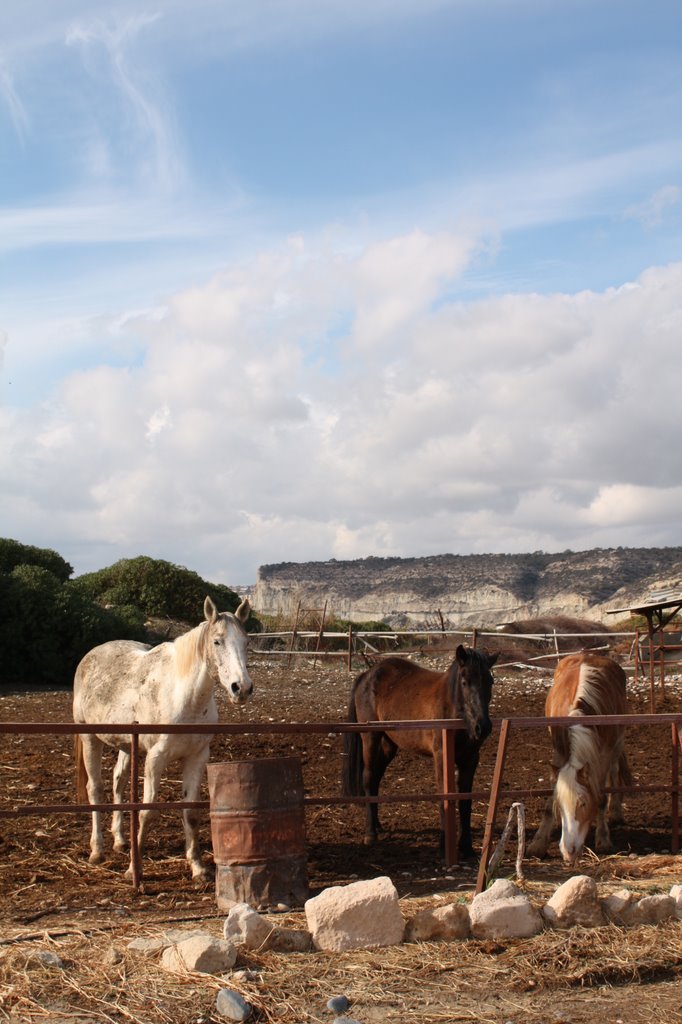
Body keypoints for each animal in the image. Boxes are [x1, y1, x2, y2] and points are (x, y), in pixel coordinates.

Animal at [73, 598, 251, 884]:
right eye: (217, 642)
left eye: (246, 642)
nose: (242, 688)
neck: (184, 696)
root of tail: (90, 656)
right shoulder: (156, 758)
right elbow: (148, 811)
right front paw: (134, 870)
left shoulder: (197, 757)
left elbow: (190, 812)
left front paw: (198, 868)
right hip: (90, 738)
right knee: (95, 789)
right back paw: (97, 850)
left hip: (126, 745)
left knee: (118, 782)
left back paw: (120, 840)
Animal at [342, 651, 497, 860]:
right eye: (465, 682)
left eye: (490, 681)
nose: (483, 727)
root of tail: (367, 675)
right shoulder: (441, 757)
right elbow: (444, 796)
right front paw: (443, 846)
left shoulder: (470, 760)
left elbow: (466, 802)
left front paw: (467, 848)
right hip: (371, 738)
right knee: (368, 778)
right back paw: (370, 833)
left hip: (389, 744)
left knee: (375, 779)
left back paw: (377, 825)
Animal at [524, 647, 630, 864]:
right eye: (560, 805)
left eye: (583, 803)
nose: (568, 851)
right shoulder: (559, 752)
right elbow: (549, 800)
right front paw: (538, 843)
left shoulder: (603, 756)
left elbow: (601, 797)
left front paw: (603, 838)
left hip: (617, 745)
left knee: (615, 772)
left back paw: (616, 811)